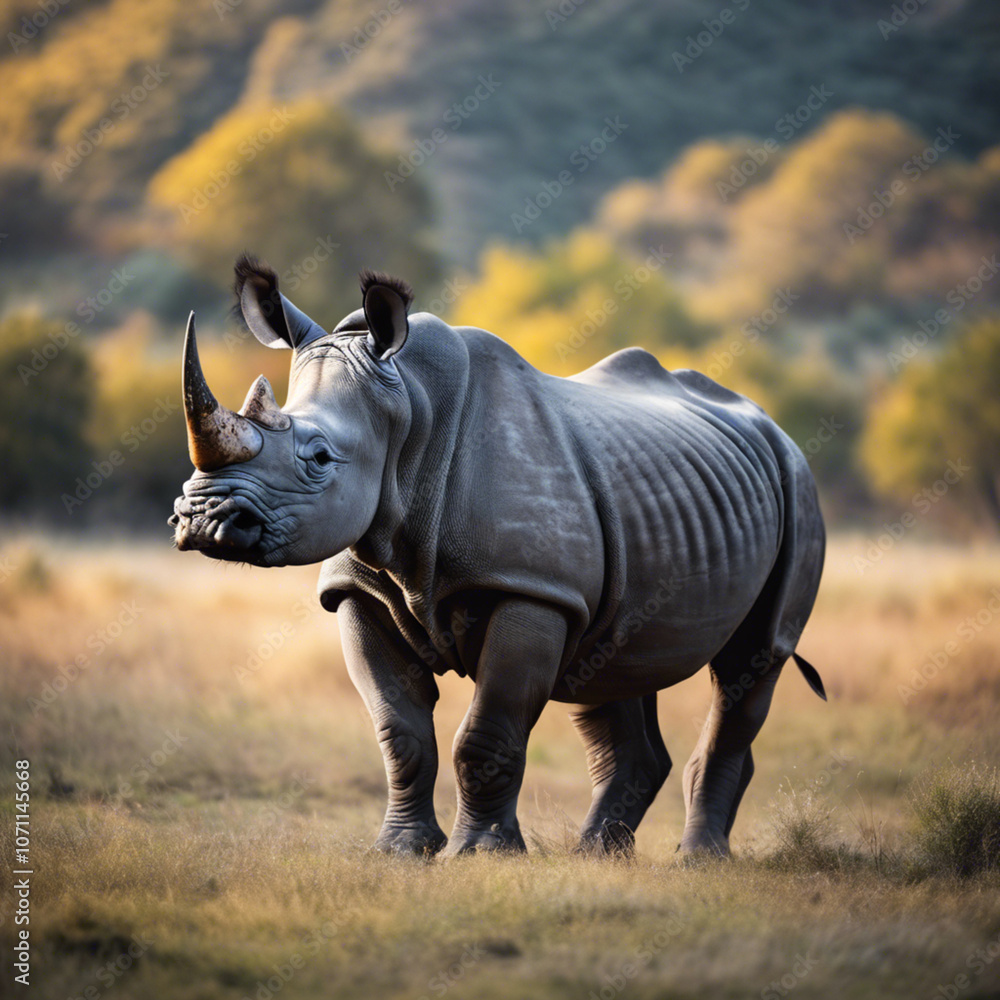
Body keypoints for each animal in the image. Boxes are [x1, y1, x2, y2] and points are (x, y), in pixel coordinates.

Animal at [170, 255, 826, 857]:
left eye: (321, 458)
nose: (202, 518)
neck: (409, 412)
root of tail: (771, 425)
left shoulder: (531, 588)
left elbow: (486, 732)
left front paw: (481, 854)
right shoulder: (360, 591)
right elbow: (400, 733)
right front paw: (401, 852)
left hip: (798, 483)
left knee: (753, 659)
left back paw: (696, 860)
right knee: (608, 662)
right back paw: (596, 858)